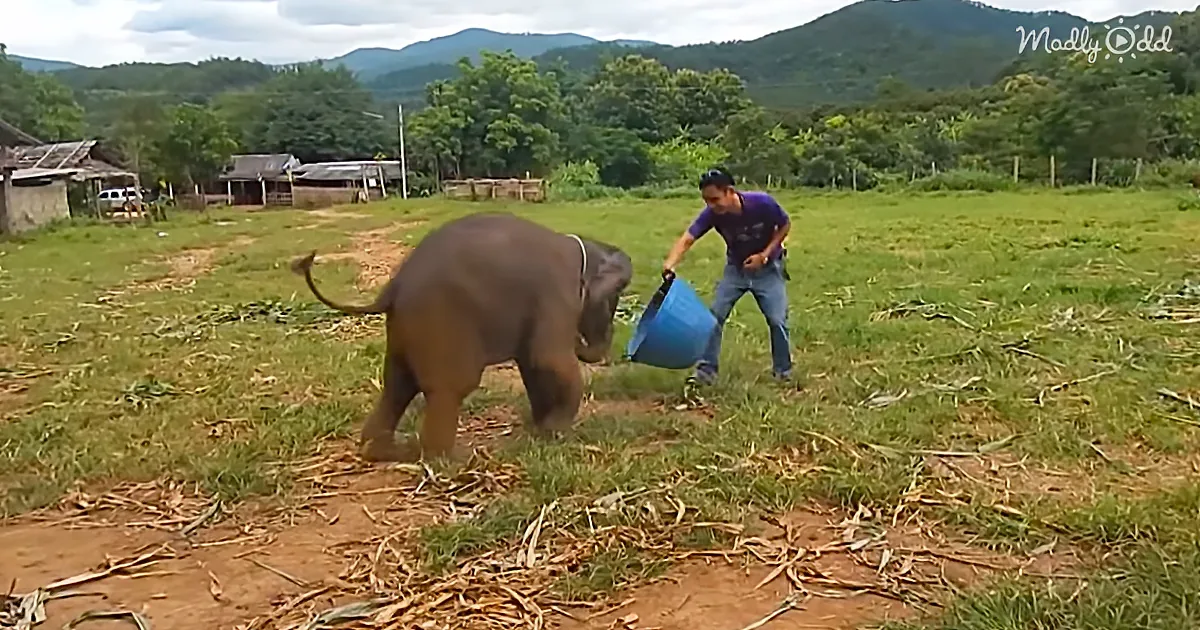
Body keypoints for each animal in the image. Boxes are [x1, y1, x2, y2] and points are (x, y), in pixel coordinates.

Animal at [291, 212, 635, 463]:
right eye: (614, 297)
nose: (582, 341)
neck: (581, 248)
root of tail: (393, 287)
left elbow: (532, 364)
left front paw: (542, 431)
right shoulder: (556, 295)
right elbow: (549, 359)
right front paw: (557, 433)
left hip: (404, 330)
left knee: (397, 386)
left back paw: (384, 452)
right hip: (439, 322)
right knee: (448, 389)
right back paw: (449, 460)